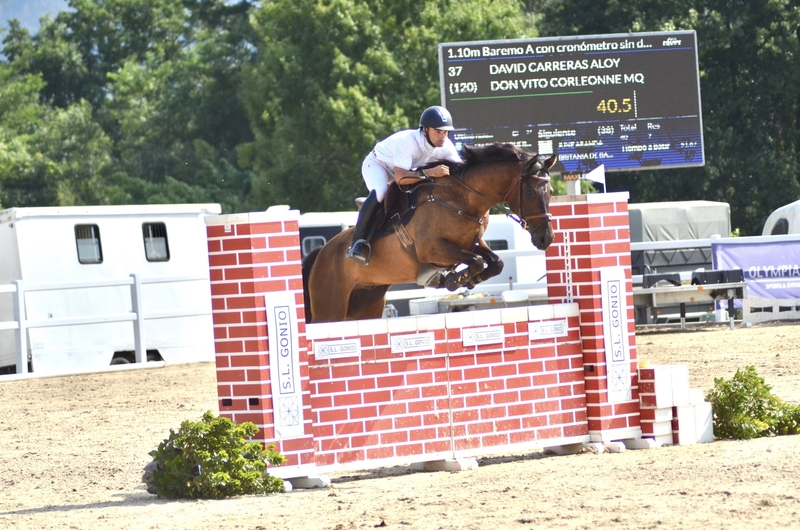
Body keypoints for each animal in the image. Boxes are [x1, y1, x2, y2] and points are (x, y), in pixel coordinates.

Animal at [303, 143, 557, 323]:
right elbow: (475, 260)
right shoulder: (431, 249)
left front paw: (467, 279)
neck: (462, 199)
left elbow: (495, 263)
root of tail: (322, 253)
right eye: (531, 193)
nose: (546, 238)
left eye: (551, 192)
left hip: (365, 306)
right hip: (330, 308)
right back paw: (357, 250)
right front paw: (455, 279)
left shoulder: (471, 242)